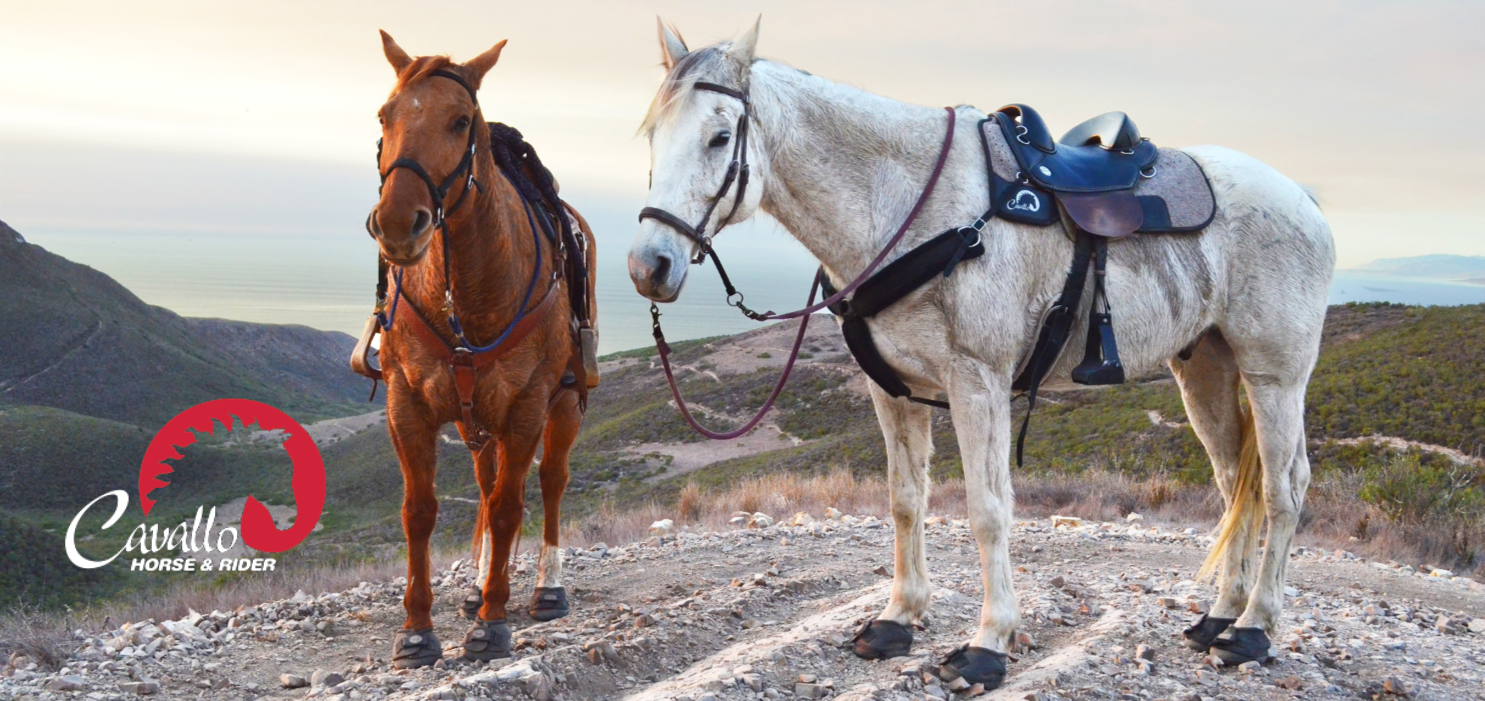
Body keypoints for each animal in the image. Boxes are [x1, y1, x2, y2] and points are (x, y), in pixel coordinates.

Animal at [363, 31, 598, 668]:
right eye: (385, 115)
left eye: (461, 121)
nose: (399, 223)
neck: (465, 293)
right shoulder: (406, 406)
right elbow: (421, 511)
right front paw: (417, 630)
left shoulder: (526, 406)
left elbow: (511, 503)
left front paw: (493, 623)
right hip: (476, 420)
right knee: (487, 482)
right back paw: (476, 587)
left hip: (561, 405)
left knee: (549, 483)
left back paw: (544, 589)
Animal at [628, 20, 1332, 687]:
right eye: (653, 135)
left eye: (720, 138)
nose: (647, 266)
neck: (909, 210)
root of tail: (1304, 198)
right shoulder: (892, 390)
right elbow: (904, 500)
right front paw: (897, 619)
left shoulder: (977, 384)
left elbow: (987, 511)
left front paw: (989, 644)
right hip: (1205, 371)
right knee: (1234, 483)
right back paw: (1220, 614)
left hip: (1274, 375)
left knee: (1283, 486)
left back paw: (1254, 629)